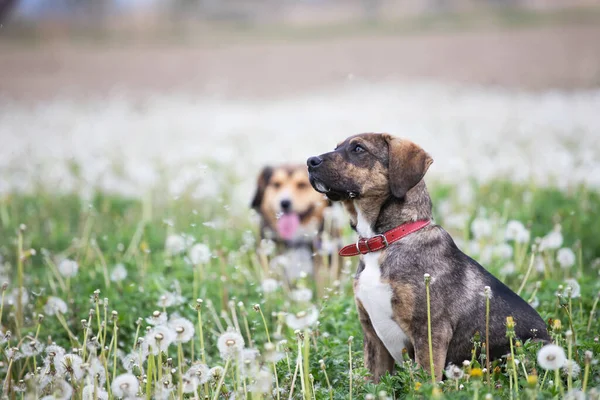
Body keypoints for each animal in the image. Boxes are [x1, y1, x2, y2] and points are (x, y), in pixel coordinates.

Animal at [308, 132, 552, 382]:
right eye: (336, 147)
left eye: (358, 148)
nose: (310, 161)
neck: (384, 241)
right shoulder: (373, 337)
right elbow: (374, 383)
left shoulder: (430, 332)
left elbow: (425, 380)